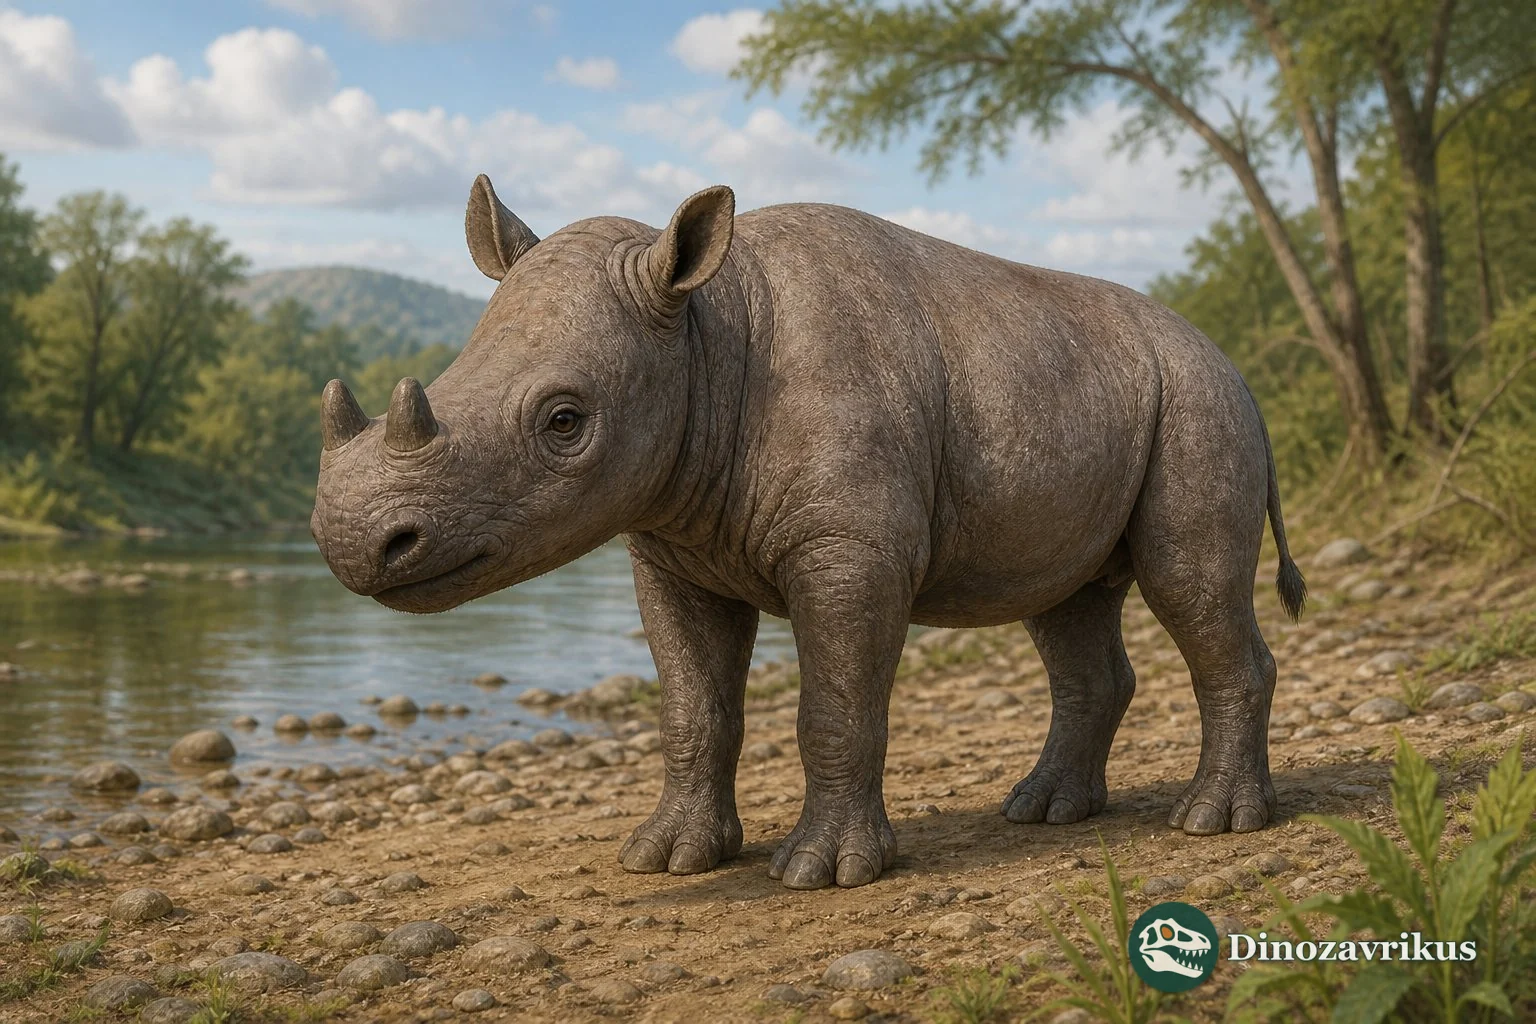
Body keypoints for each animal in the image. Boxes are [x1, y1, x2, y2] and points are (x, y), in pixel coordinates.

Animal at [310, 174, 1306, 891]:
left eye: (564, 422)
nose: (353, 542)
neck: (704, 333)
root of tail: (1237, 369)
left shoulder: (851, 549)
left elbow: (834, 703)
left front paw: (822, 874)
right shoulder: (670, 548)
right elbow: (693, 707)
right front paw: (669, 859)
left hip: (1202, 400)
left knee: (1187, 580)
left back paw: (1212, 822)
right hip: (1097, 389)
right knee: (1064, 602)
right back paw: (1044, 812)